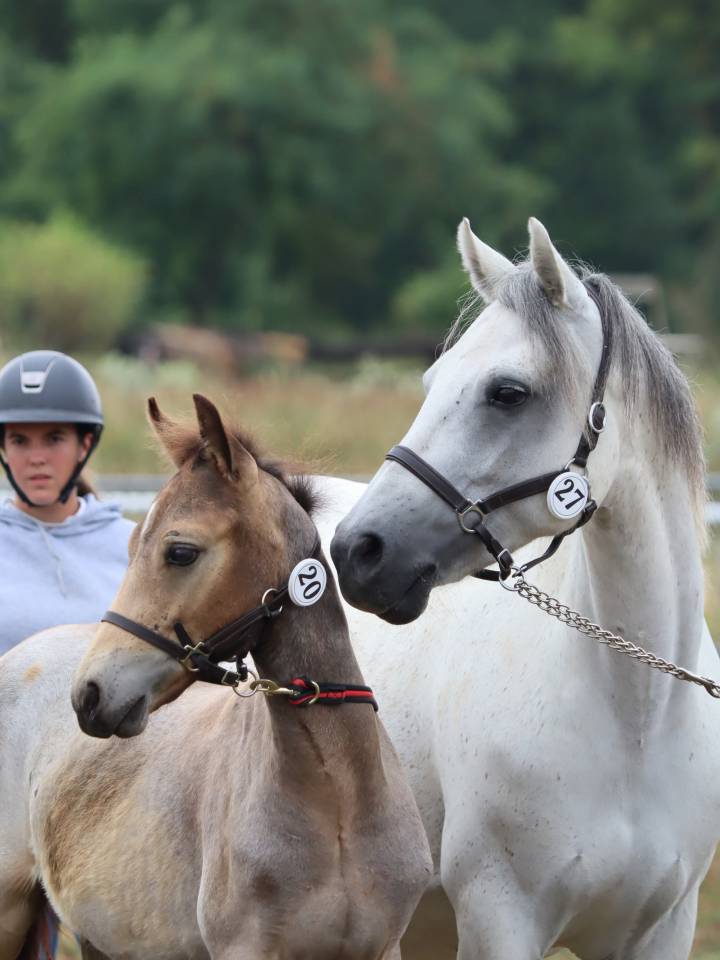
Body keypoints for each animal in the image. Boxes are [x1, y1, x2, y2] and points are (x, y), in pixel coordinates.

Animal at [325, 217, 720, 959]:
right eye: (432, 379)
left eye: (507, 392)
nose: (356, 552)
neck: (636, 719)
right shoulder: (500, 919)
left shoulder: (661, 929)